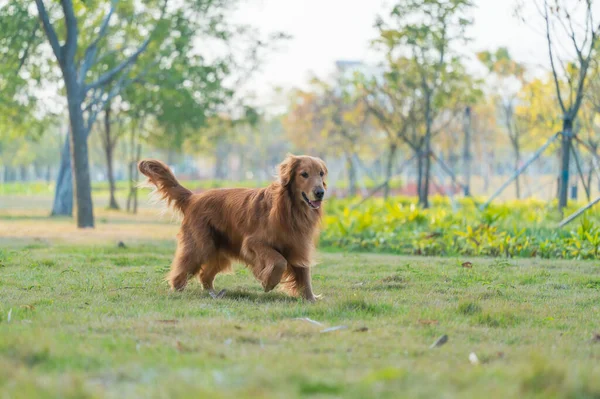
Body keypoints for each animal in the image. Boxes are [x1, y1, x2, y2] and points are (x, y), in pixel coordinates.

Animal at [139, 155, 328, 302]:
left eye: (321, 173)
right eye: (304, 174)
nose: (320, 192)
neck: (290, 210)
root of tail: (194, 197)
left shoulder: (298, 246)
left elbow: (304, 274)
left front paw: (310, 299)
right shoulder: (253, 243)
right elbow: (279, 261)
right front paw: (268, 282)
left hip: (220, 251)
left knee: (204, 275)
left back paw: (214, 294)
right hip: (200, 247)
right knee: (181, 272)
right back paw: (177, 291)